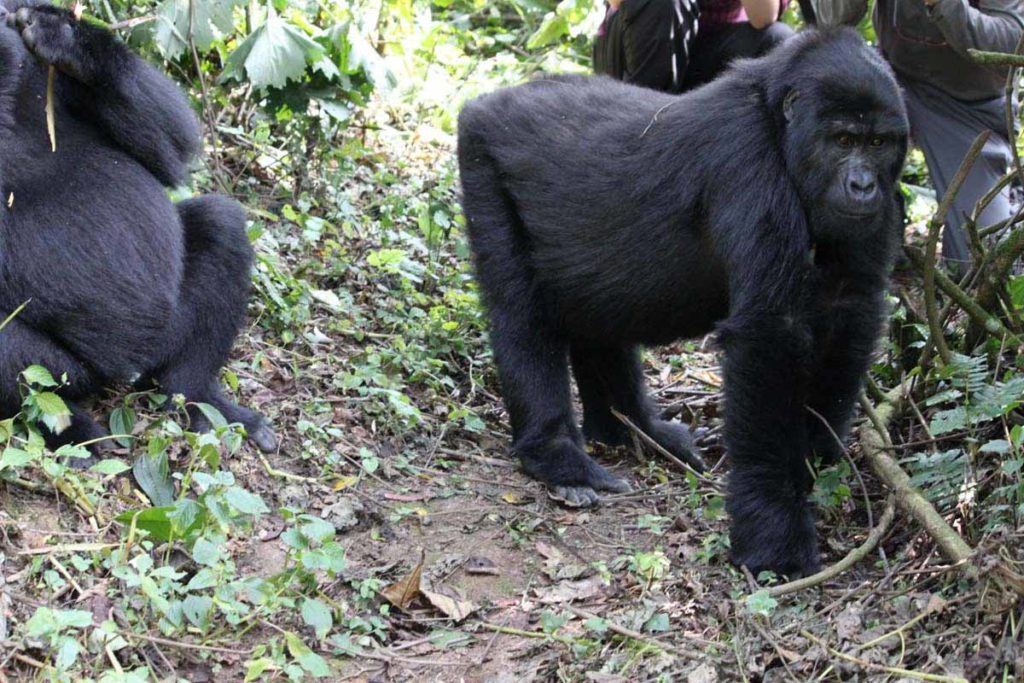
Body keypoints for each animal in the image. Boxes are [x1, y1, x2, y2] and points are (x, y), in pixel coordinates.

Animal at [0, 3, 276, 454]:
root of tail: (126, 371)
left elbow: (171, 146)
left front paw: (69, 38)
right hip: (73, 374)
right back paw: (73, 430)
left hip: (166, 336)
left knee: (221, 223)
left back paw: (197, 393)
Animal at [460, 29, 909, 581]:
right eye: (843, 141)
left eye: (878, 143)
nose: (863, 185)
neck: (777, 120)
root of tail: (488, 101)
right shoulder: (749, 160)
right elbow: (769, 337)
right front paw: (775, 528)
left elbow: (850, 307)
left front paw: (817, 458)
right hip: (481, 157)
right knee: (521, 318)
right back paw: (556, 454)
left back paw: (630, 429)